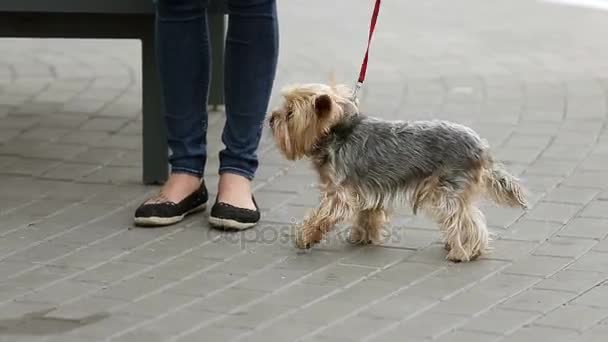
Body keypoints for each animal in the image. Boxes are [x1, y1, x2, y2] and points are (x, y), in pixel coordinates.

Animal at [266, 83, 528, 262]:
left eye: (290, 113)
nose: (270, 118)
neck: (336, 132)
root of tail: (482, 147)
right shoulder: (367, 190)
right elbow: (367, 215)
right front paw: (362, 237)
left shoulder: (339, 193)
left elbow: (322, 215)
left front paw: (305, 236)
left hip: (448, 189)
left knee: (465, 219)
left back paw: (462, 252)